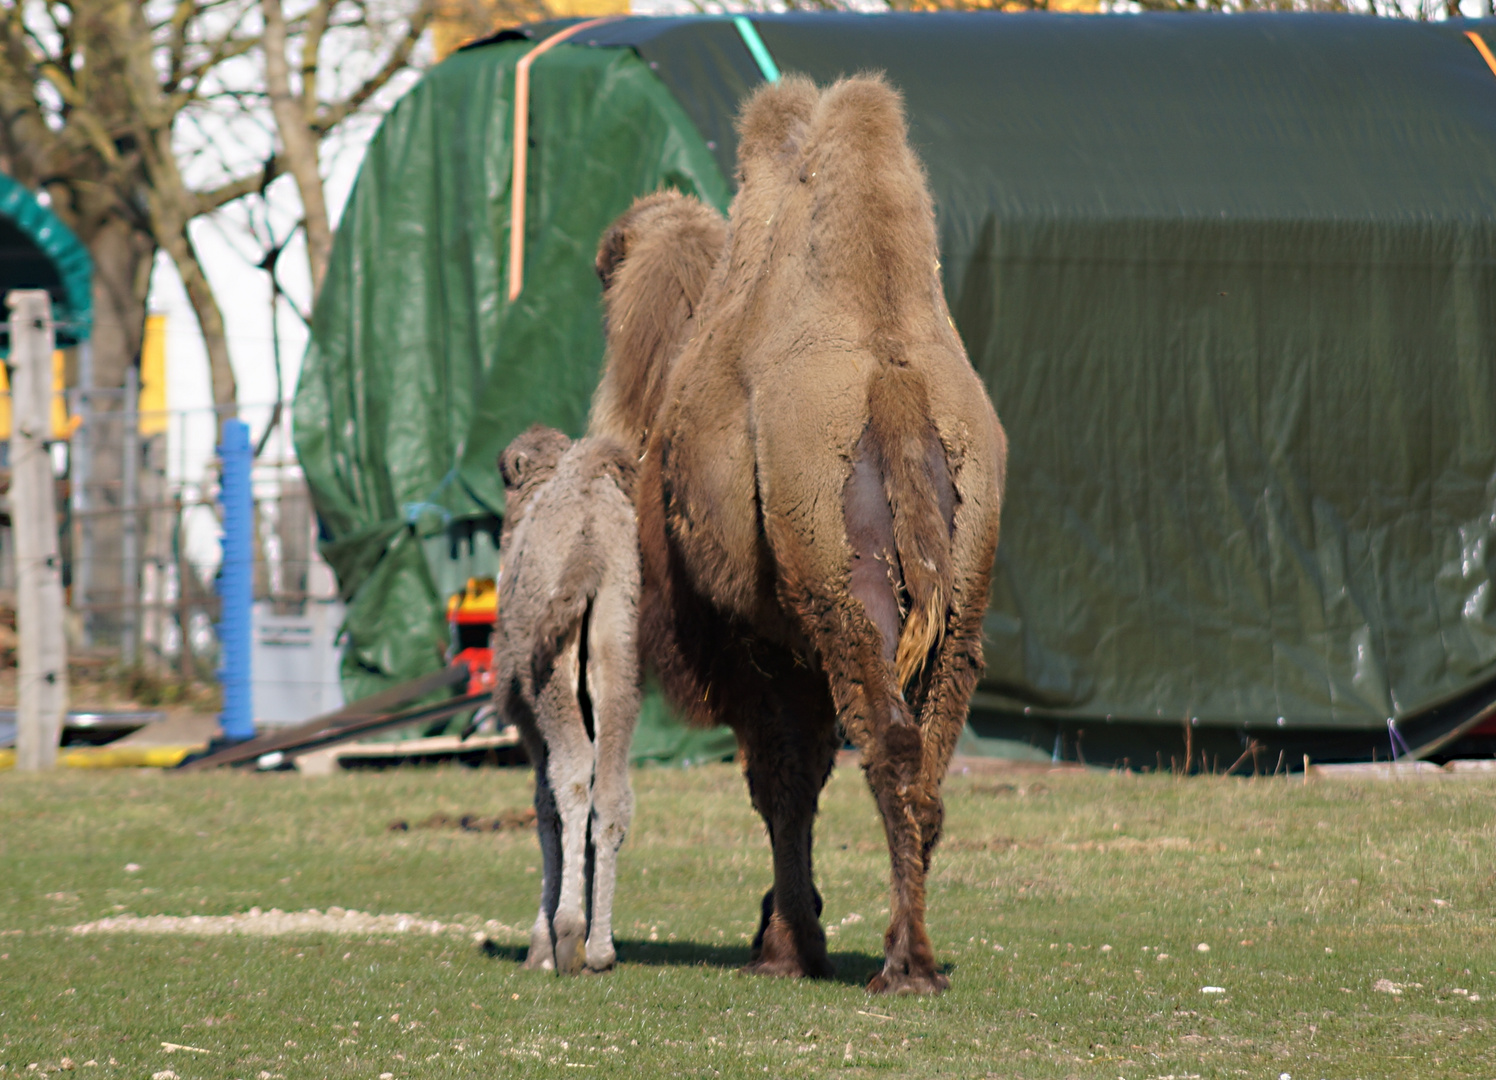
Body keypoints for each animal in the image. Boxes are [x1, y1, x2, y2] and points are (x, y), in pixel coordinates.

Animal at [493, 424, 640, 969]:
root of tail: (589, 540)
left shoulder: (525, 719)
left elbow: (544, 805)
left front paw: (539, 945)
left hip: (548, 672)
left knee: (572, 774)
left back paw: (570, 933)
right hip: (619, 638)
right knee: (612, 788)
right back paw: (600, 949)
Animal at [586, 73, 1005, 993]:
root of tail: (895, 392)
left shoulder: (758, 646)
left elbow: (780, 780)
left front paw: (784, 944)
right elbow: (801, 776)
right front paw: (789, 930)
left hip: (837, 588)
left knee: (887, 742)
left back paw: (903, 964)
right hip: (963, 593)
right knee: (929, 759)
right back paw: (913, 952)